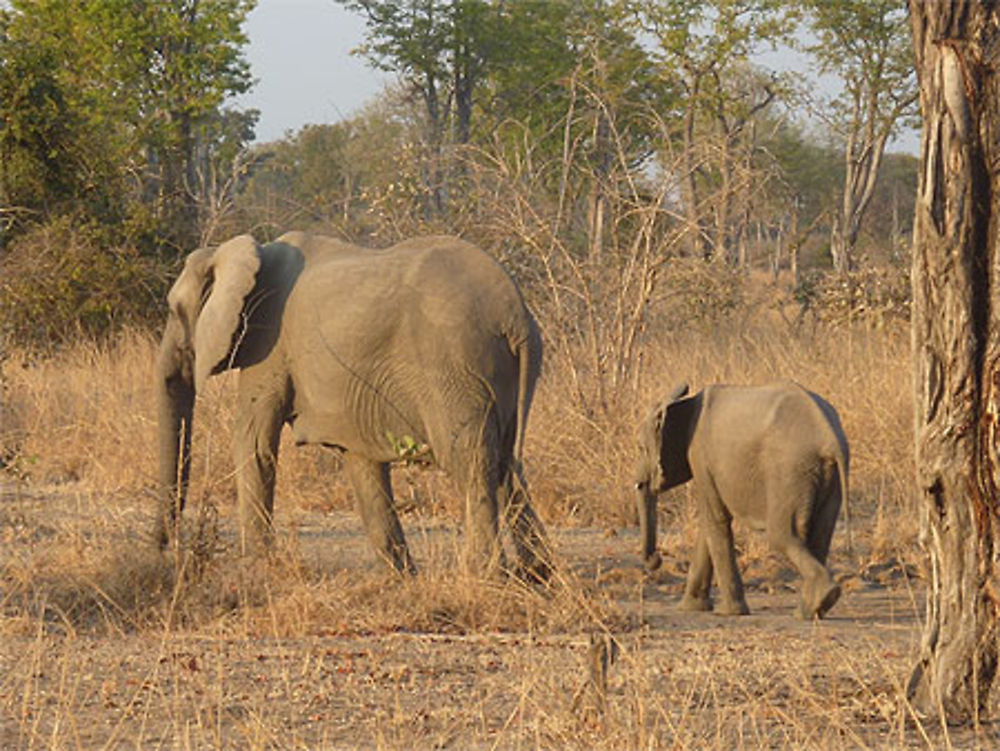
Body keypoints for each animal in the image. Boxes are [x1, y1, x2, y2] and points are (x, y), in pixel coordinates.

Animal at [154, 231, 556, 580]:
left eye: (174, 311)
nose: (164, 547)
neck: (247, 252)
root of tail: (513, 313)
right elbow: (361, 461)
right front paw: (402, 579)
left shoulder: (269, 345)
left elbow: (254, 443)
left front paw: (258, 570)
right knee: (505, 461)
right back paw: (538, 574)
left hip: (454, 366)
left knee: (469, 460)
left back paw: (485, 574)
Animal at [632, 378, 844, 620]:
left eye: (640, 448)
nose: (656, 560)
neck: (681, 402)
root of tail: (829, 438)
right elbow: (710, 525)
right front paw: (690, 608)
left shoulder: (701, 458)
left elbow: (715, 519)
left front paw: (729, 612)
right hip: (827, 475)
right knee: (820, 534)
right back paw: (813, 608)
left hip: (790, 471)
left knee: (781, 535)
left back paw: (814, 604)